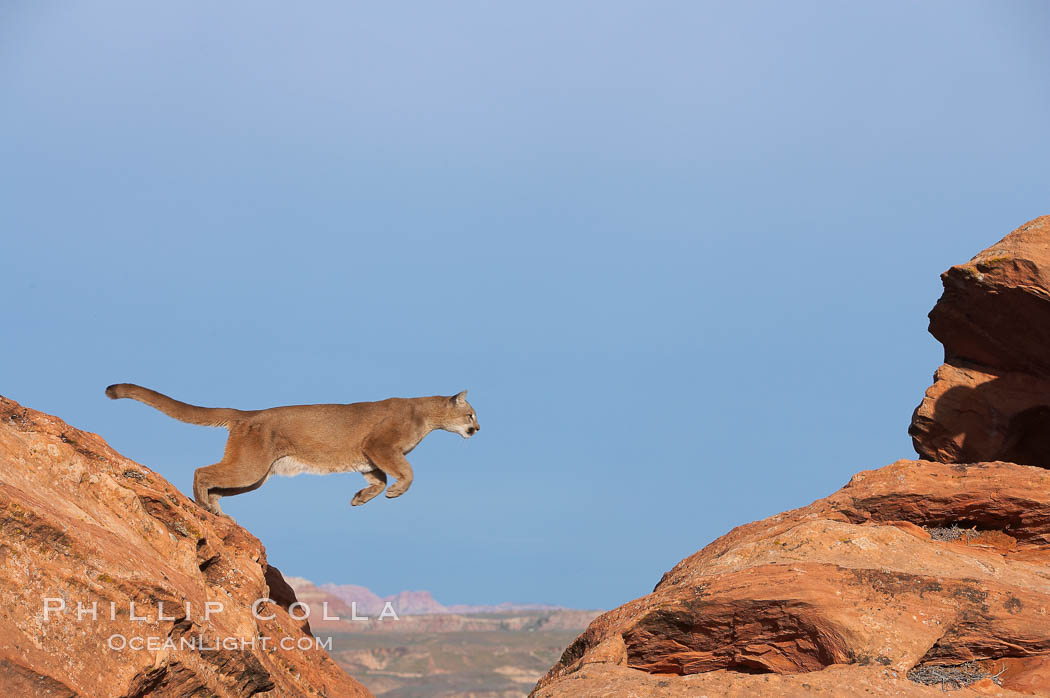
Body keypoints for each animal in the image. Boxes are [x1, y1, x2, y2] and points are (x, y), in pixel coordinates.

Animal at [102, 384, 480, 514]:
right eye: (471, 413)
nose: (478, 429)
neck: (425, 415)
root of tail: (247, 413)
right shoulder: (380, 445)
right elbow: (408, 473)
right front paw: (395, 493)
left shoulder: (370, 456)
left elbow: (380, 478)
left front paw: (361, 497)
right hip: (251, 468)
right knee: (201, 471)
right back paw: (204, 507)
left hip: (255, 476)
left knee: (217, 483)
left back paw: (216, 510)